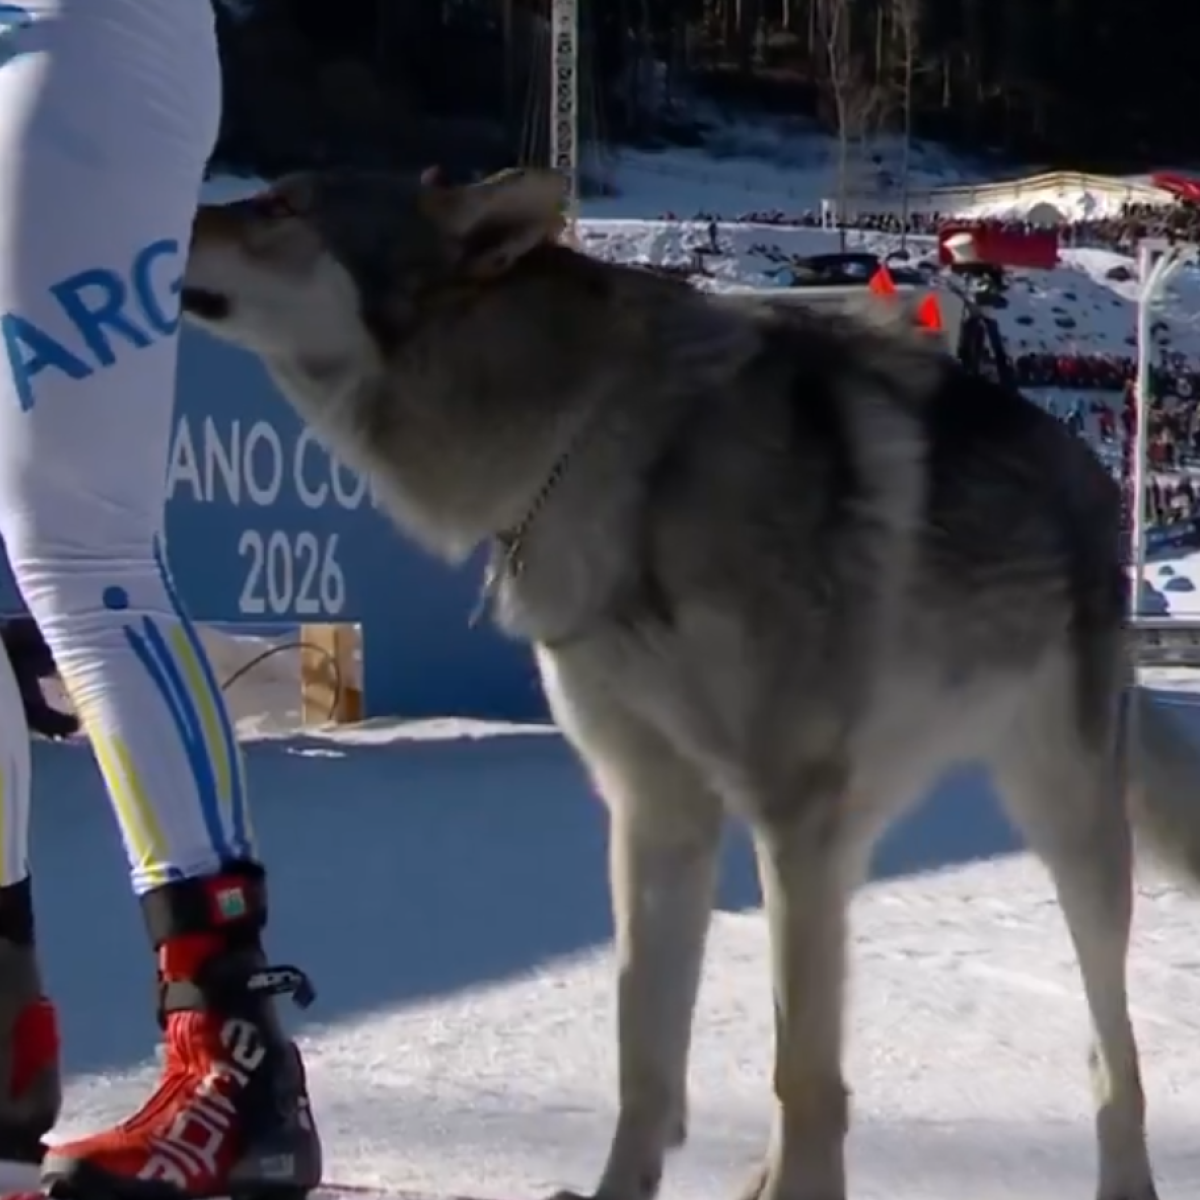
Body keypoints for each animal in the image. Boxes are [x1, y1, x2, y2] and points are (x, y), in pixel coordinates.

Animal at [180, 166, 1200, 1200]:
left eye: (282, 206)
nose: (174, 213)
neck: (594, 443)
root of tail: (1091, 476)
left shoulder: (789, 816)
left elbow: (797, 1074)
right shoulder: (655, 809)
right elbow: (647, 1052)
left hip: (1060, 829)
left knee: (1109, 1049)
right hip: (862, 836)